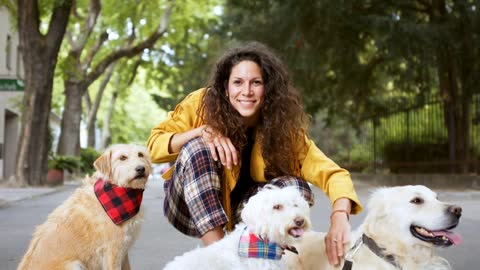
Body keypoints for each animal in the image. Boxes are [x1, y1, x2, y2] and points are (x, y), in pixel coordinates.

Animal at [17, 144, 151, 270]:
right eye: (122, 157)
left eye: (140, 154)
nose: (140, 168)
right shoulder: (112, 249)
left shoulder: (123, 249)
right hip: (74, 264)